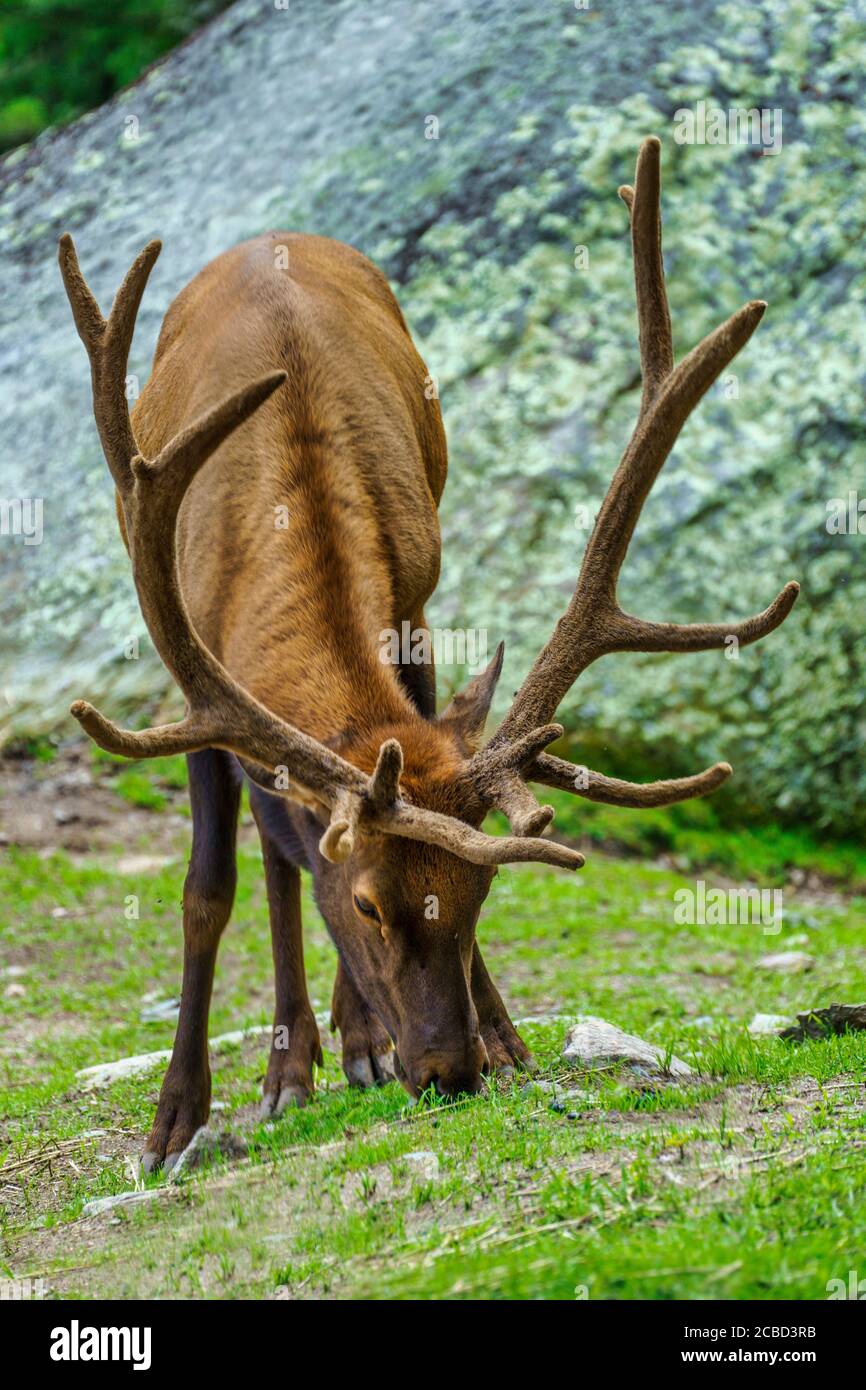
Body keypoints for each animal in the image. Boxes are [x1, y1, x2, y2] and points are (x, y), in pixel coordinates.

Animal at [59, 138, 798, 1172]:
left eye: (481, 893)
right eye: (369, 905)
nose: (451, 1073)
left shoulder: (413, 609)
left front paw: (501, 1036)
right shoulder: (187, 670)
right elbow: (210, 889)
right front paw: (177, 1120)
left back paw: (352, 1044)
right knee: (275, 855)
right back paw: (293, 1067)